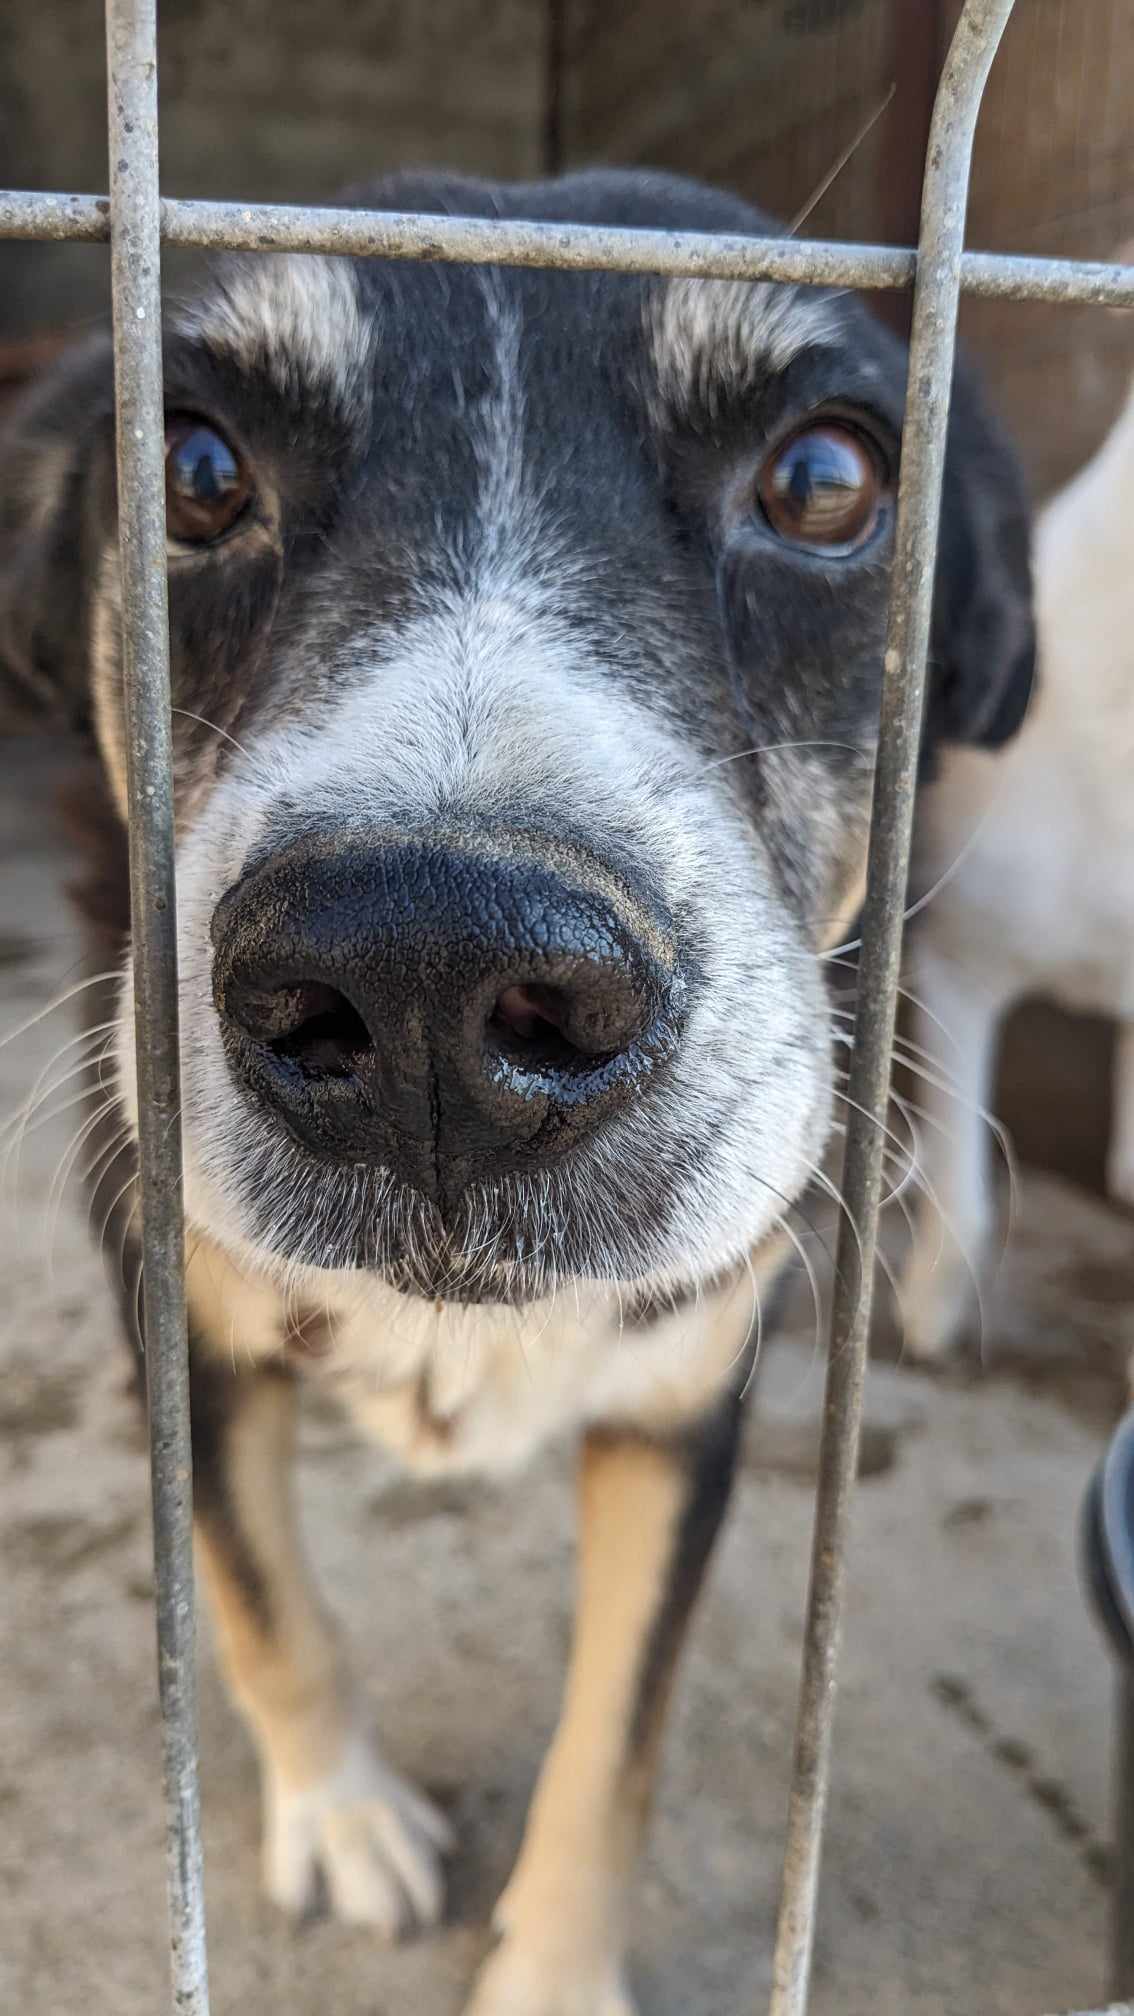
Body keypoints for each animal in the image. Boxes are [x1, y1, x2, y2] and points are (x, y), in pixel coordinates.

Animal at [0, 170, 1035, 2012]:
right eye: (193, 467)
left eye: (825, 481)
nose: (430, 974)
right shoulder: (172, 1310)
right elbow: (258, 1596)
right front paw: (342, 1813)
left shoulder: (685, 1396)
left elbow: (614, 1738)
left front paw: (550, 1970)